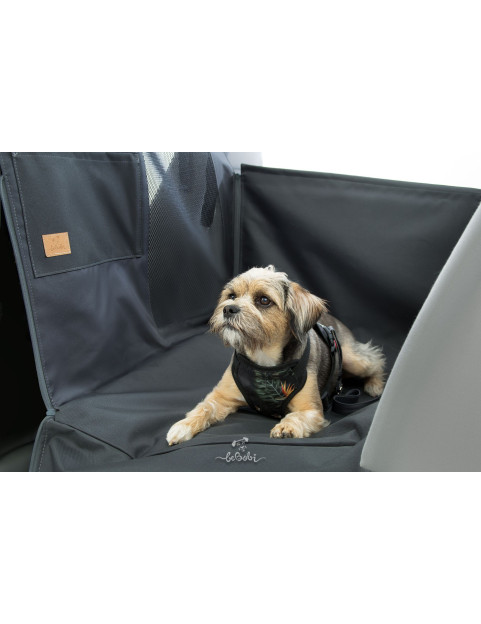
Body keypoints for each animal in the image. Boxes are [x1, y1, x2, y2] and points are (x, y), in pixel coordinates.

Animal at [166, 265, 385, 445]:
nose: (228, 309)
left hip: (351, 358)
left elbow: (297, 416)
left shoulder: (311, 410)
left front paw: (287, 426)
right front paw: (184, 425)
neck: (264, 357)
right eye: (232, 295)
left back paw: (375, 384)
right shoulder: (221, 397)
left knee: (375, 359)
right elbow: (204, 408)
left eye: (264, 300)